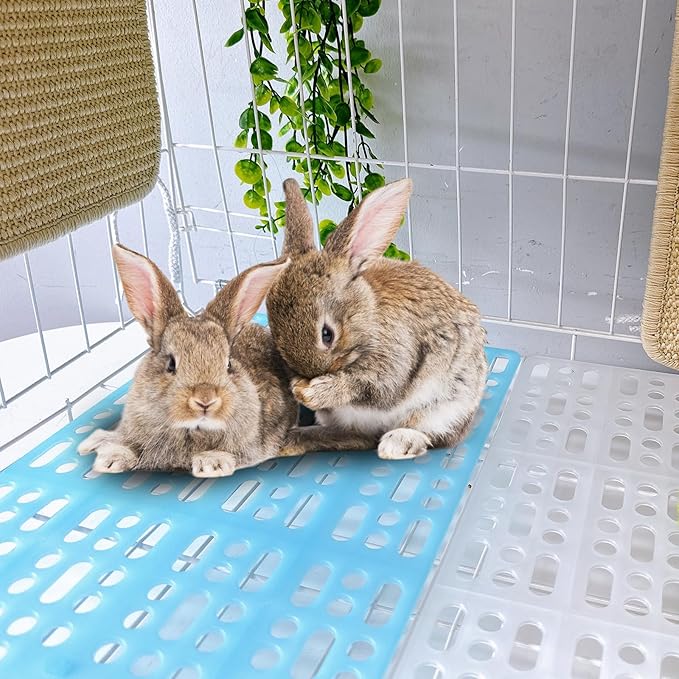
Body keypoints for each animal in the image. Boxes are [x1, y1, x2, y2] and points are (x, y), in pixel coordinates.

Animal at [77, 244, 297, 477]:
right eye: (171, 364)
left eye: (228, 364)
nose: (205, 400)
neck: (192, 428)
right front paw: (110, 460)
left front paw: (212, 463)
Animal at [266, 177, 487, 460]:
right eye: (275, 334)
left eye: (327, 334)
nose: (311, 374)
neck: (367, 316)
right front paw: (298, 387)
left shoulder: (394, 362)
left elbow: (369, 387)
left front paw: (312, 391)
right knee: (358, 439)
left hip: (449, 406)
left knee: (430, 435)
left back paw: (397, 444)